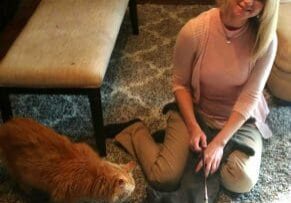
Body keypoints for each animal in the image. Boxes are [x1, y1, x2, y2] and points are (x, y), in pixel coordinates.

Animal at [0, 118, 136, 202]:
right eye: (129, 193)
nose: (133, 194)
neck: (94, 176)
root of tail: (5, 126)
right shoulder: (62, 196)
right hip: (19, 171)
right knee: (19, 181)